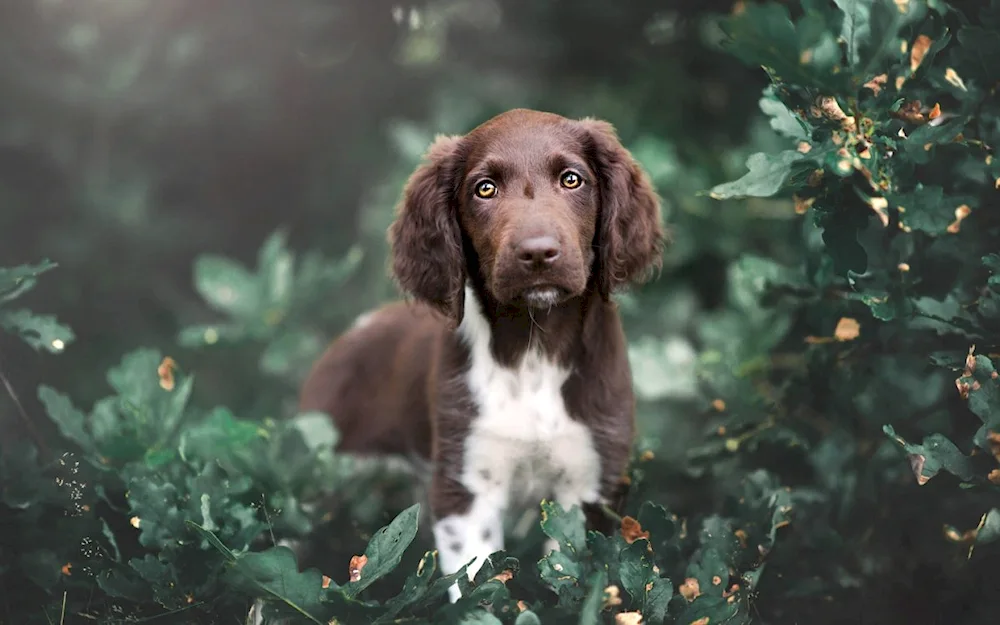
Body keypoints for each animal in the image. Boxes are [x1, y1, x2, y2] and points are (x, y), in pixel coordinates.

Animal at [300, 107, 668, 600]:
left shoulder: (591, 481)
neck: (533, 351)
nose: (538, 253)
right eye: (485, 188)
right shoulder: (465, 485)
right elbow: (477, 583)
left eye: (572, 179)